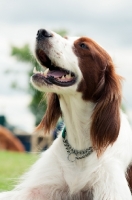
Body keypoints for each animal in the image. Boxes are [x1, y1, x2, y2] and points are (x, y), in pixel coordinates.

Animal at [0, 28, 132, 199]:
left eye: (83, 45)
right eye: (65, 38)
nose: (41, 31)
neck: (79, 146)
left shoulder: (112, 191)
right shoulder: (36, 189)